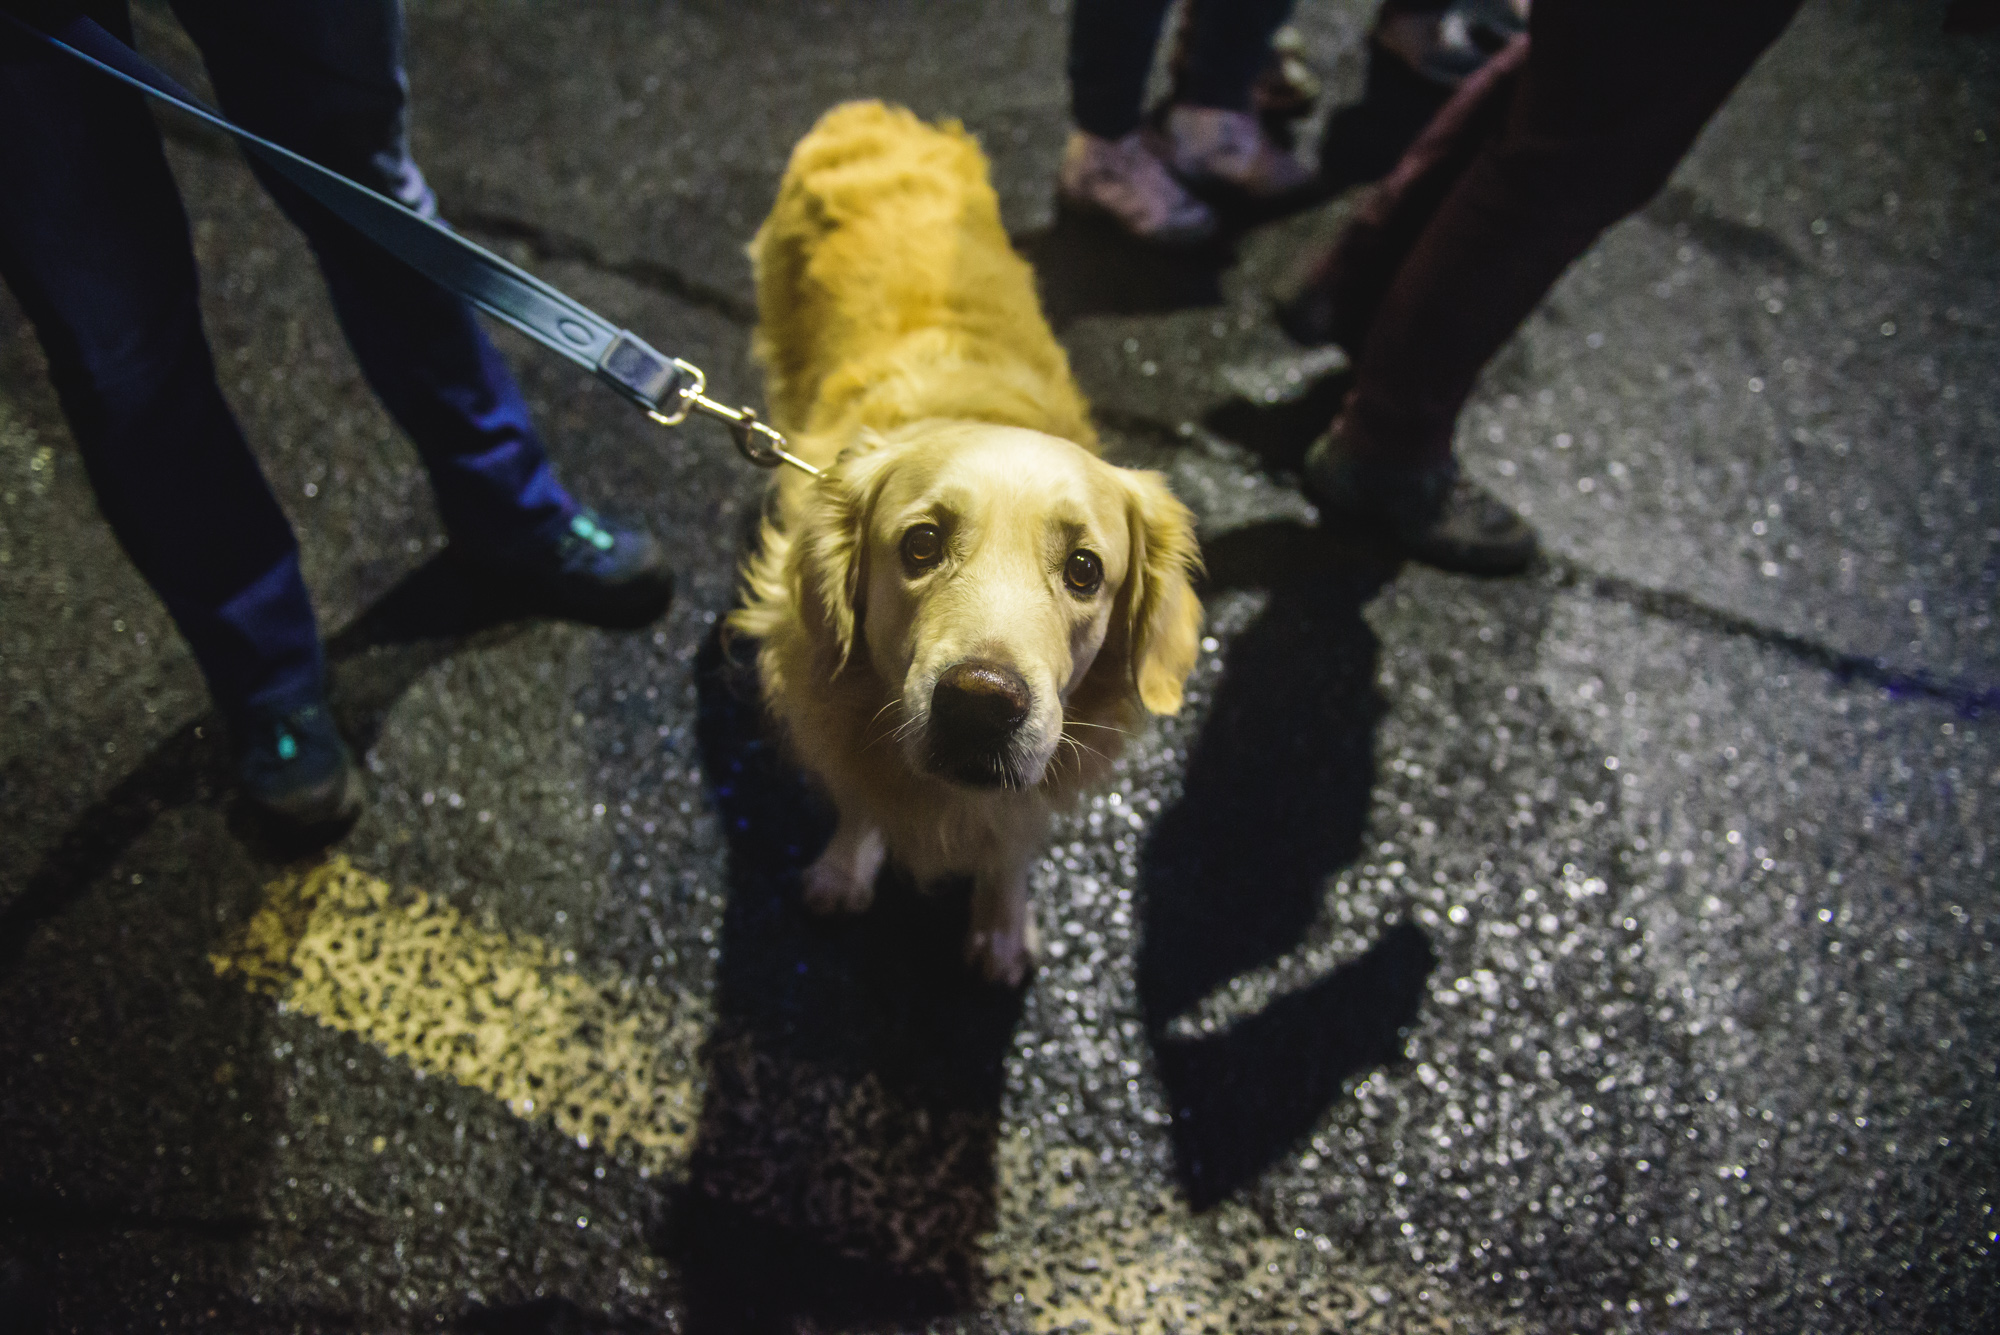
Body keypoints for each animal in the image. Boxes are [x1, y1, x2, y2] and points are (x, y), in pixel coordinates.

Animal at [736, 101, 1200, 979]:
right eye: (919, 544)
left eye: (1085, 569)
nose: (981, 705)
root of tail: (873, 108)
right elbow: (857, 797)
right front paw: (846, 867)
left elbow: (1012, 838)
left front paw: (1002, 926)